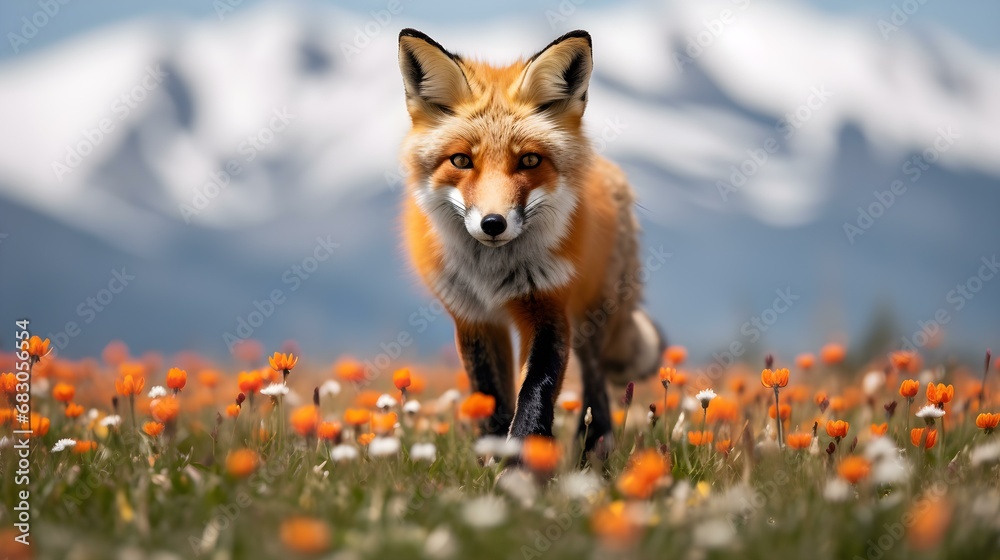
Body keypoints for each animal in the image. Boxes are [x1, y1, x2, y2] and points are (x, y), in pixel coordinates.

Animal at [396, 28, 665, 457]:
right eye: (461, 161)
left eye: (529, 161)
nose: (493, 223)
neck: (492, 276)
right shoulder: (473, 318)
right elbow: (490, 398)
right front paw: (494, 455)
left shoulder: (548, 306)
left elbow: (534, 395)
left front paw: (521, 462)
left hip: (591, 319)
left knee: (596, 391)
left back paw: (593, 453)